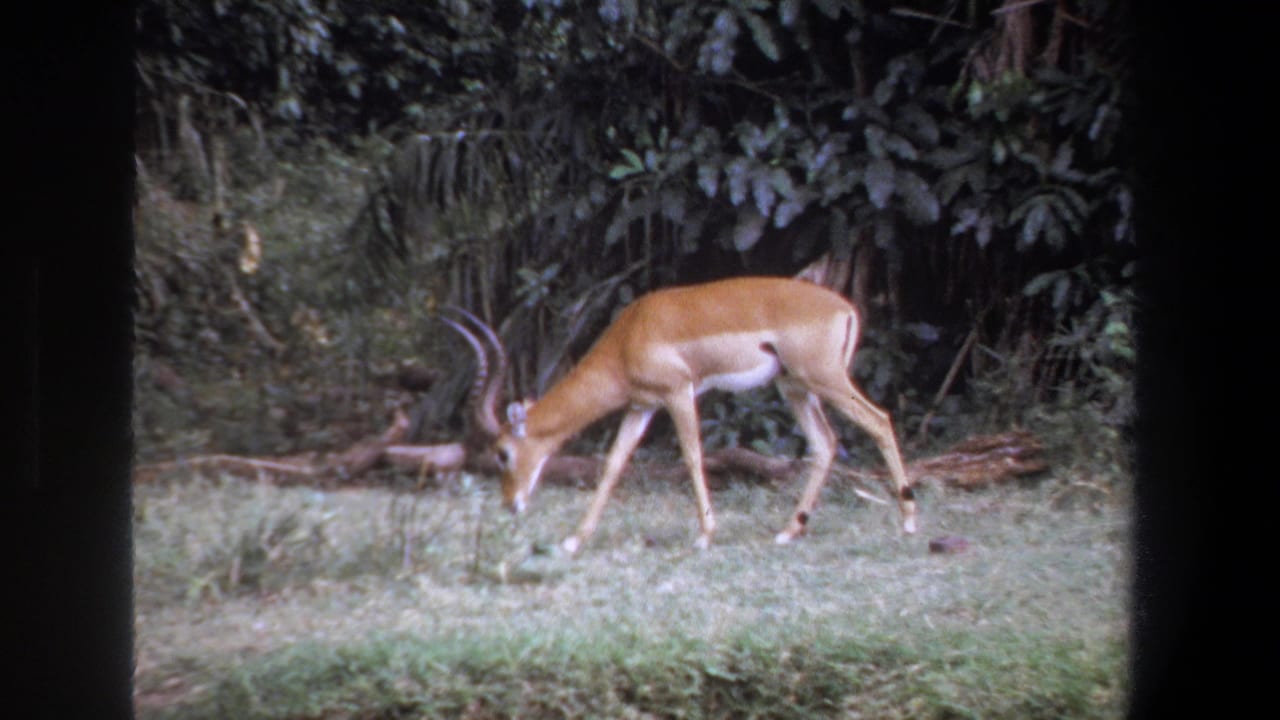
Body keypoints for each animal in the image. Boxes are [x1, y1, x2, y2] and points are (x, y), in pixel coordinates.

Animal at [443, 276, 918, 554]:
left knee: (879, 420)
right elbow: (613, 464)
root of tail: (845, 308)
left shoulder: (678, 392)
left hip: (823, 379)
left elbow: (691, 456)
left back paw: (910, 523)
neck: (631, 334)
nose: (511, 504)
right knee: (826, 443)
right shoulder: (642, 405)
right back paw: (789, 531)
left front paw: (705, 535)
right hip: (795, 387)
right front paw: (574, 540)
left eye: (503, 452)